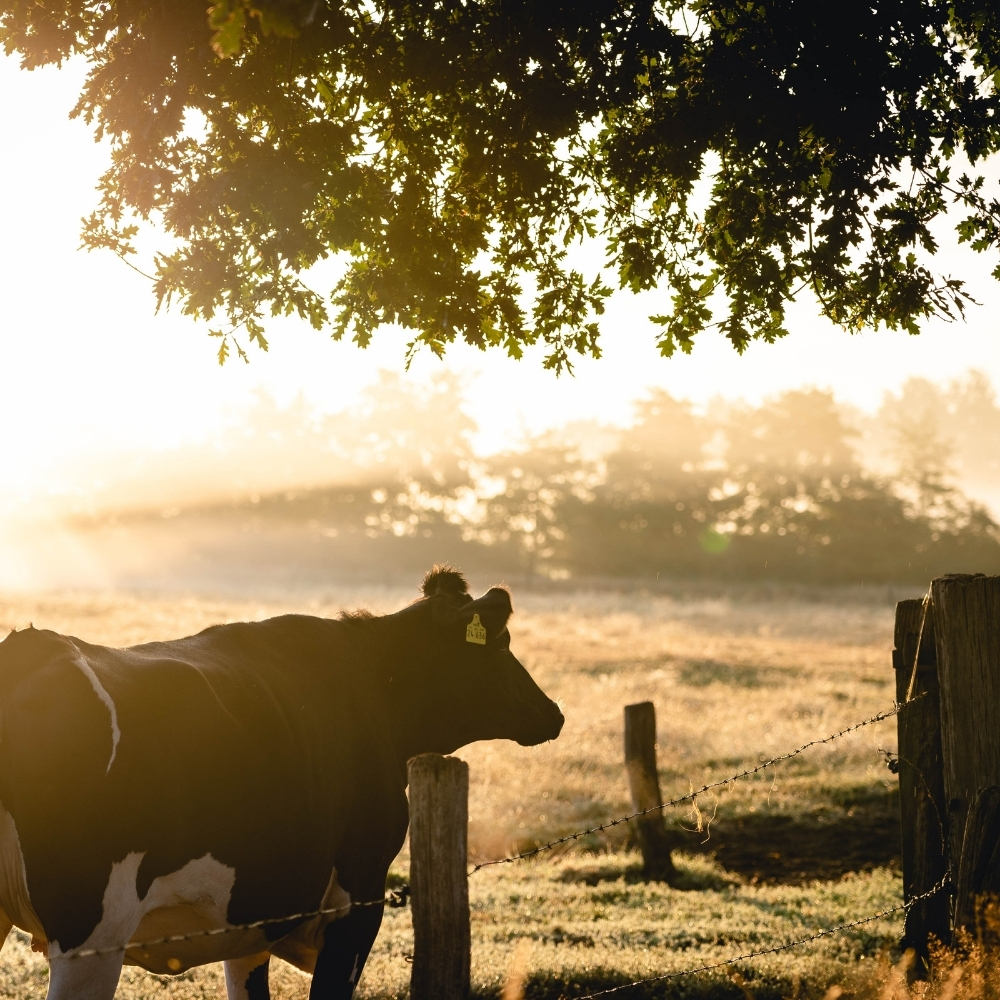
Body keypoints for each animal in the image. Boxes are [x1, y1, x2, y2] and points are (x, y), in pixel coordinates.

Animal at [0, 568, 564, 996]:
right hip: (92, 933)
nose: (554, 713)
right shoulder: (357, 900)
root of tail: (30, 651)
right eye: (502, 643)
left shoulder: (253, 916)